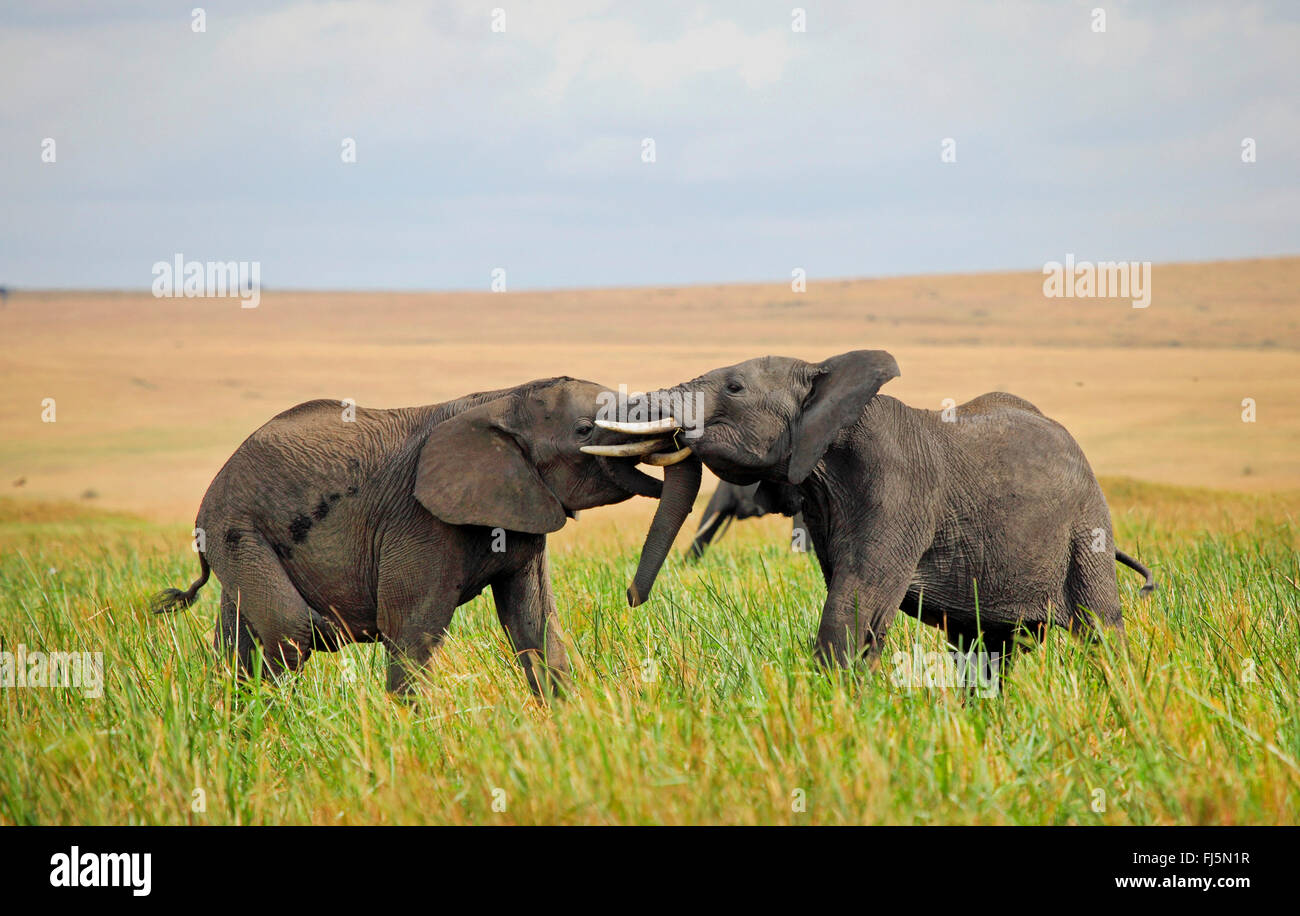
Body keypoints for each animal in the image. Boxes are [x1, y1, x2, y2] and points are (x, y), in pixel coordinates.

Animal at [152, 376, 707, 691]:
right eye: (585, 431)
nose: (632, 597)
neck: (502, 401)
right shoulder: (420, 521)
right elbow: (410, 631)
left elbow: (534, 624)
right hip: (236, 527)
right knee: (292, 631)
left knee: (239, 640)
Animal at [595, 353, 1154, 670]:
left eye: (733, 388)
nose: (630, 600)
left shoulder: (899, 490)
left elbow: (856, 599)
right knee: (984, 648)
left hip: (1087, 528)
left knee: (1100, 630)